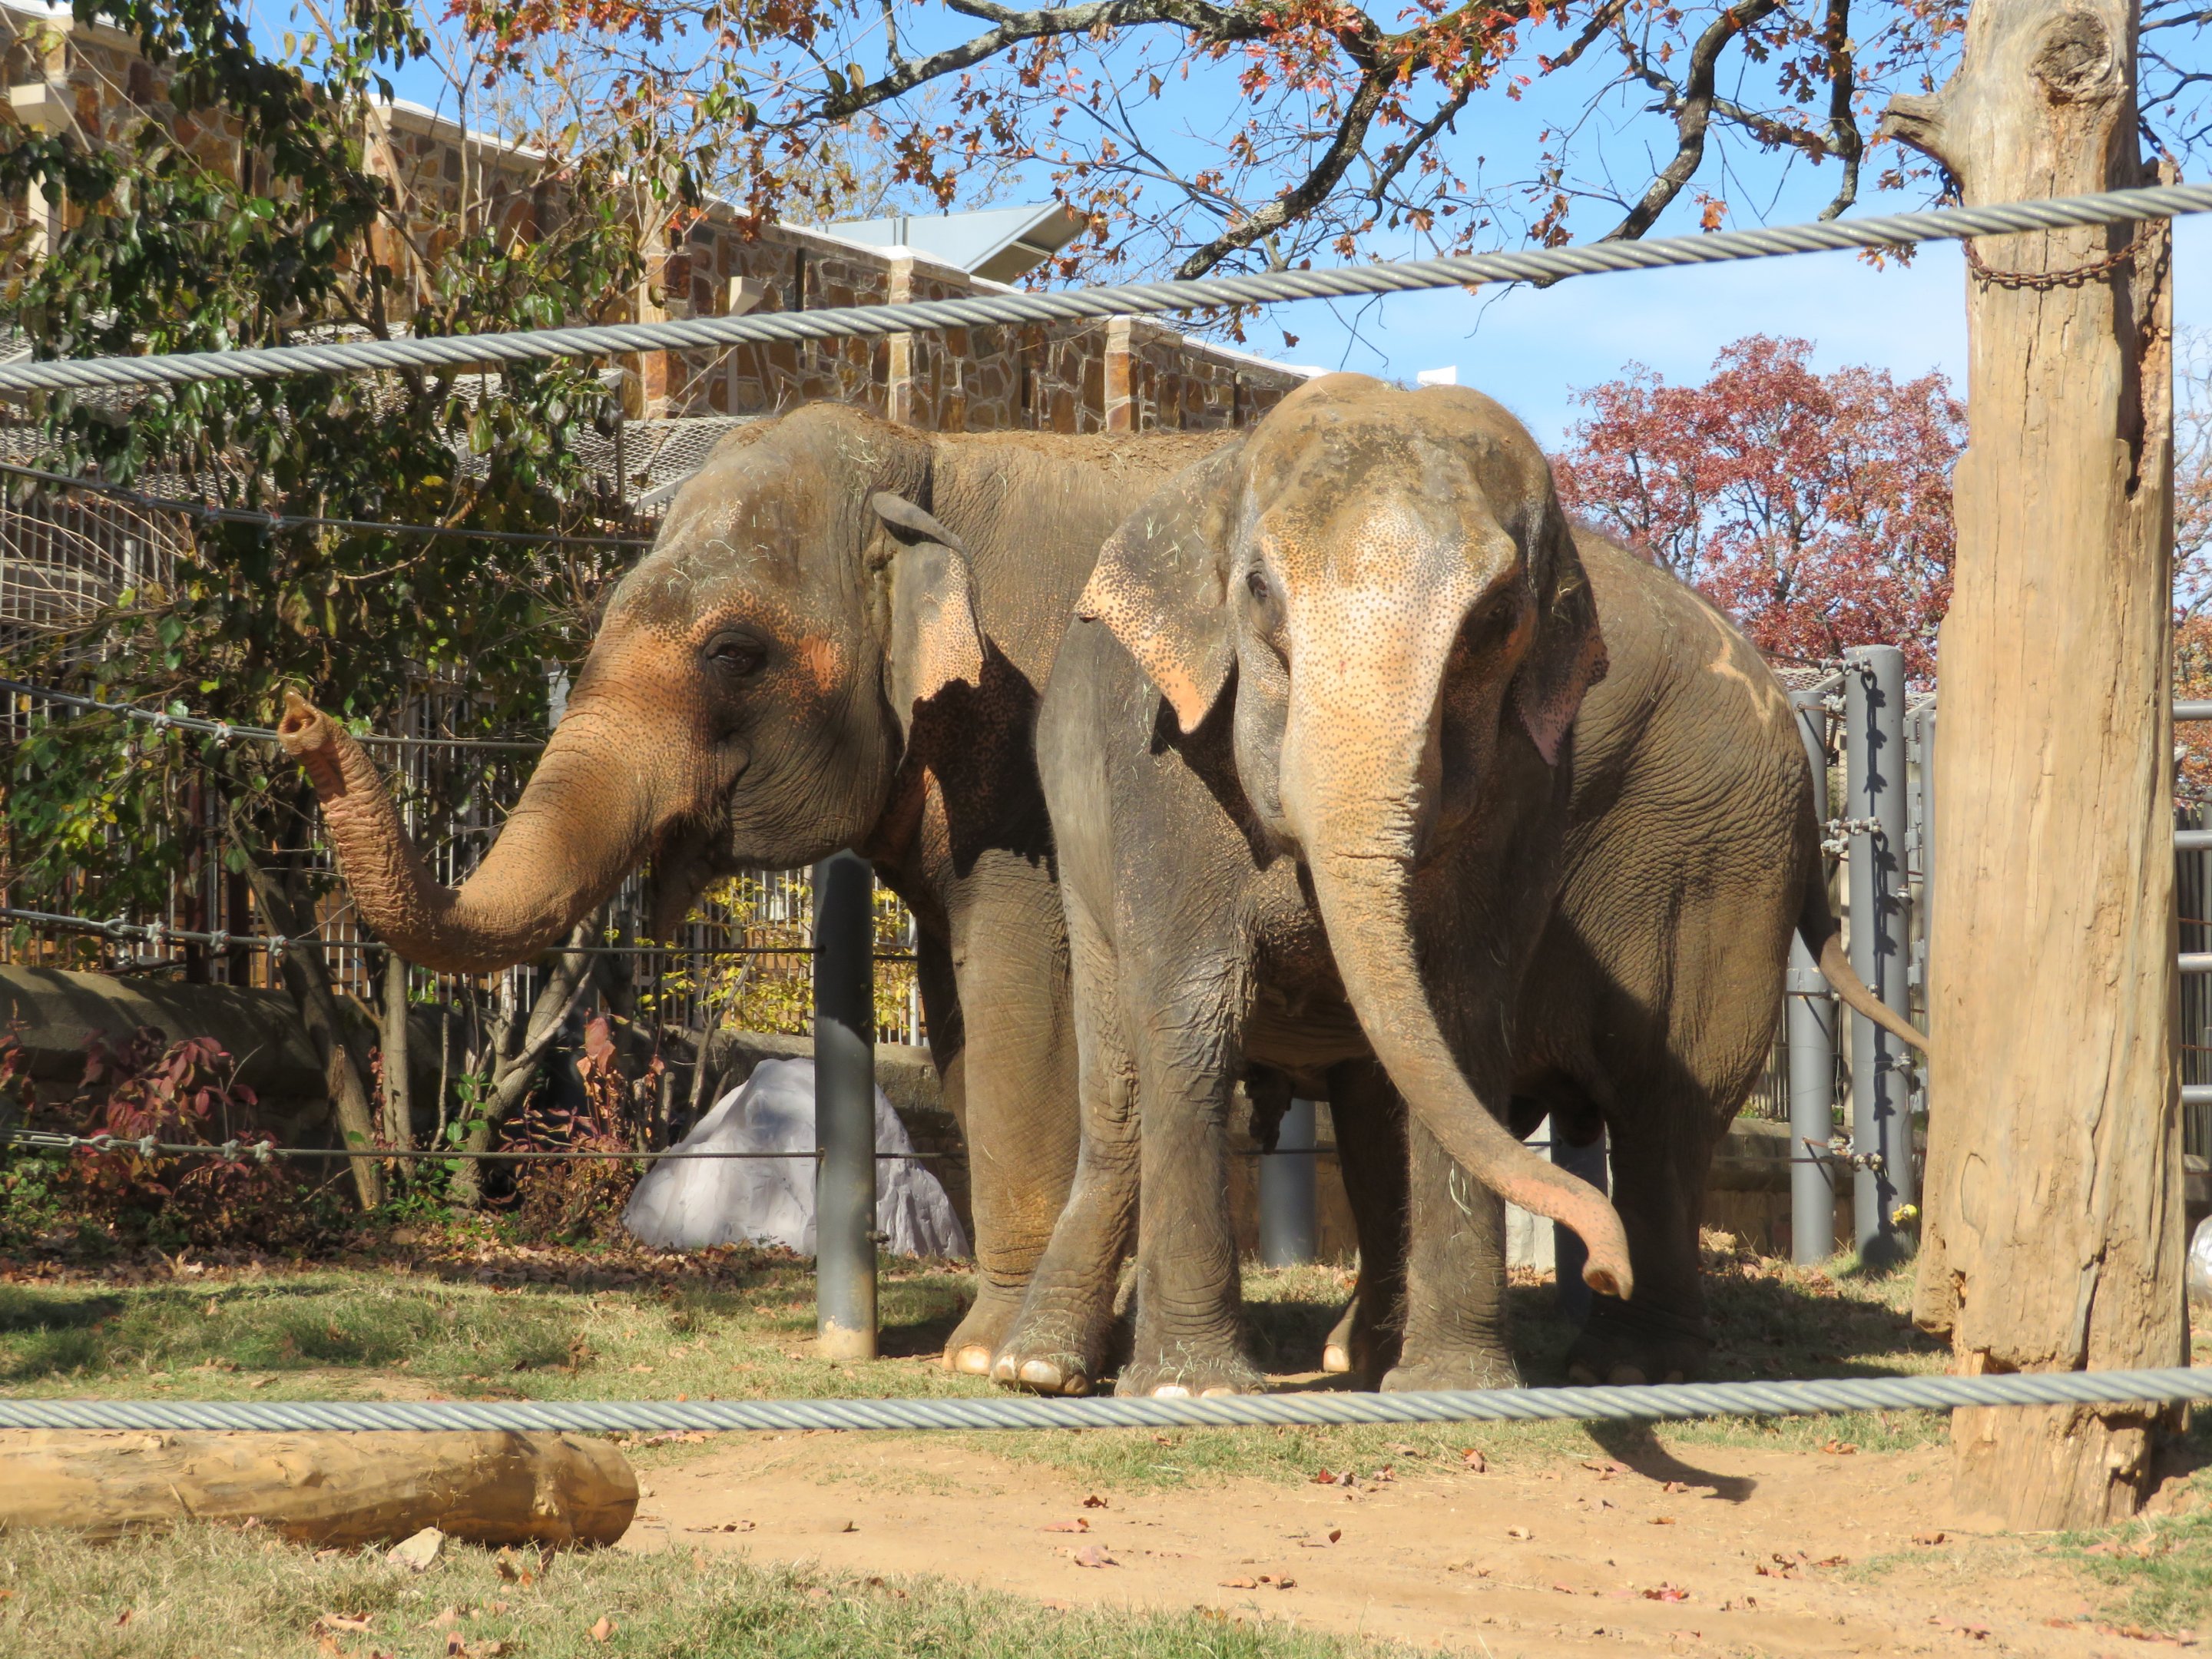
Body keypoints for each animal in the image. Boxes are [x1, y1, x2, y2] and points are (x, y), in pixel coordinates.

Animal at [274, 401, 1234, 1373]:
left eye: (734, 653)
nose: (300, 716)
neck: (924, 461)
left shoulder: (1021, 768)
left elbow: (1019, 1006)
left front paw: (987, 1356)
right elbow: (958, 1014)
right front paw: (1010, 1345)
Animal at [991, 372, 1921, 1397]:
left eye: (1494, 623)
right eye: (1259, 591)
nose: (1601, 1260)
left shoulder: (1520, 783)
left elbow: (1456, 1017)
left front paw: (1454, 1385)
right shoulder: (1163, 765)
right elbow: (1195, 1016)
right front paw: (1190, 1390)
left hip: (1716, 860)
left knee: (1665, 1105)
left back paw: (1623, 1363)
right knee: (1127, 1092)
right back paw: (1044, 1369)